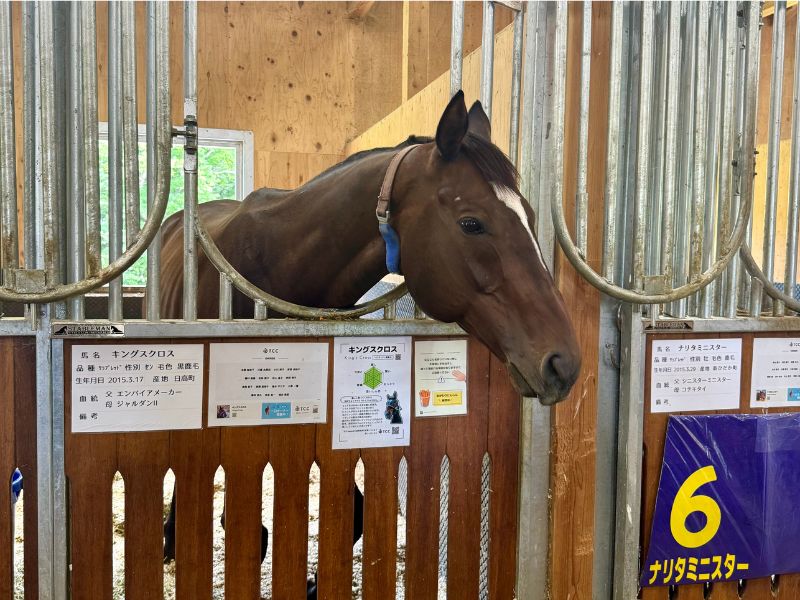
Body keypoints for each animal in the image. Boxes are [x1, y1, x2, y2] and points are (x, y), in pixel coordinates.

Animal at [158, 91, 581, 595]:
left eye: (531, 218)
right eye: (472, 223)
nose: (564, 363)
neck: (278, 258)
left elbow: (352, 515)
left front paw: (313, 583)